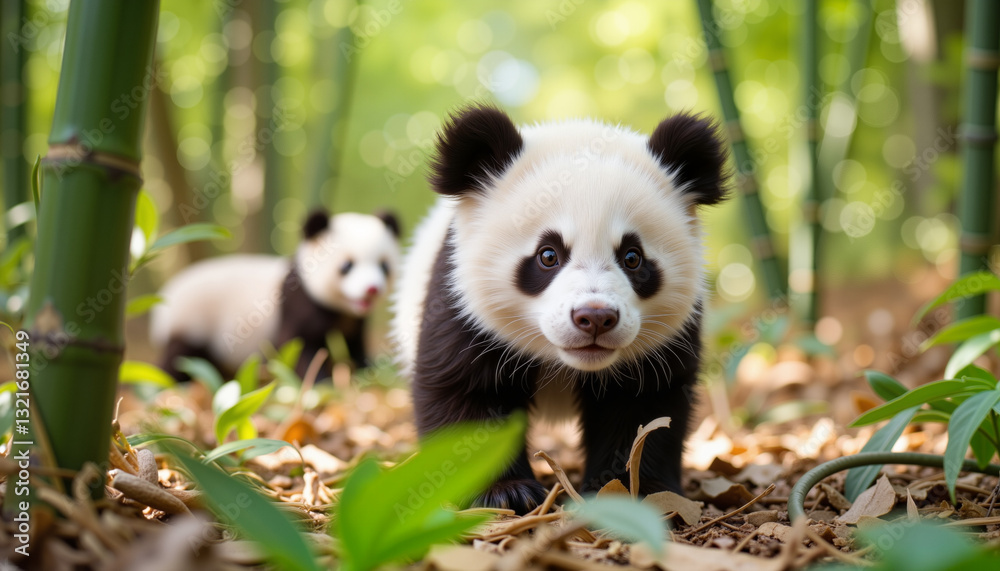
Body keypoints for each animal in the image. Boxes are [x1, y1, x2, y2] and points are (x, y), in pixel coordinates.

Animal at [151, 210, 400, 380]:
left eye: (384, 266)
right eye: (347, 266)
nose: (372, 289)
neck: (341, 310)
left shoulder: (353, 321)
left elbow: (355, 343)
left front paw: (367, 367)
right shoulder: (297, 302)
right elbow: (296, 343)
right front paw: (321, 379)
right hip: (192, 321)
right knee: (180, 356)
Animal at [392, 105, 729, 513]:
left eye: (632, 257)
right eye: (548, 255)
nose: (595, 318)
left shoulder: (664, 341)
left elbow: (646, 406)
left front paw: (634, 490)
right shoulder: (460, 304)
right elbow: (464, 393)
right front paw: (506, 492)